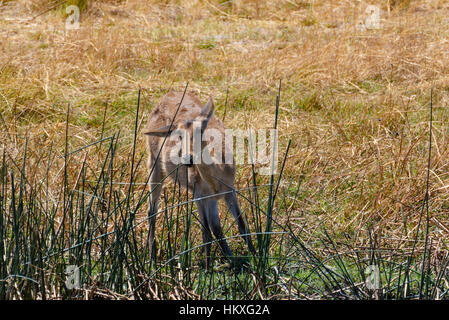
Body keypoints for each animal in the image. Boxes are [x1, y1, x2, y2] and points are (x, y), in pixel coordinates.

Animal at [144, 90, 256, 268]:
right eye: (179, 136)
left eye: (200, 131)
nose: (187, 158)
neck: (215, 181)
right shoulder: (199, 195)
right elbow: (206, 231)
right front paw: (207, 267)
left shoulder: (229, 190)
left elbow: (240, 225)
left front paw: (255, 258)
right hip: (154, 166)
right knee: (151, 211)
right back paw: (151, 258)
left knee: (216, 226)